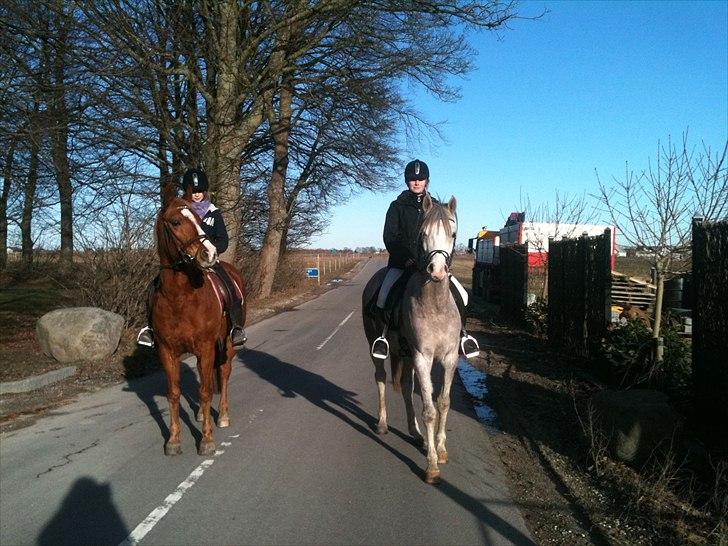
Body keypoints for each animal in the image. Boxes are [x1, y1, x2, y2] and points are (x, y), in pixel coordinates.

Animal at [152, 189, 246, 452]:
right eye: (175, 222)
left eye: (200, 221)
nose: (209, 254)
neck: (179, 297)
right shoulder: (167, 351)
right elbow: (173, 393)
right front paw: (173, 440)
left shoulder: (206, 347)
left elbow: (205, 391)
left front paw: (206, 439)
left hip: (228, 345)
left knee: (223, 373)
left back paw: (222, 416)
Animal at [364, 193, 460, 482]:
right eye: (423, 233)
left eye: (452, 234)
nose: (437, 271)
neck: (435, 304)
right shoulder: (422, 358)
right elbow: (428, 410)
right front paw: (431, 465)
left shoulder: (449, 358)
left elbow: (443, 402)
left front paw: (439, 448)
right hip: (378, 348)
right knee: (381, 378)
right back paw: (383, 424)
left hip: (405, 355)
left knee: (407, 387)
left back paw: (416, 434)